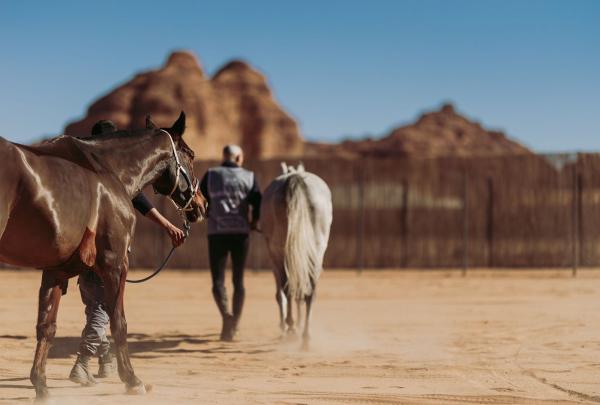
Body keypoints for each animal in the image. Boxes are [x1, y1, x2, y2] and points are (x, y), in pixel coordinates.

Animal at [0, 112, 206, 400]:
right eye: (191, 155)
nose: (201, 204)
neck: (108, 171)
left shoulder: (56, 270)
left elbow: (47, 326)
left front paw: (41, 385)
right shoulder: (115, 263)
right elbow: (118, 322)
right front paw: (132, 380)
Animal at [262, 163, 332, 346]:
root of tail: (294, 178)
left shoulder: (274, 259)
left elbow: (281, 294)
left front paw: (285, 325)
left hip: (280, 253)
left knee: (288, 289)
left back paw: (292, 327)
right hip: (316, 252)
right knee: (310, 291)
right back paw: (305, 336)